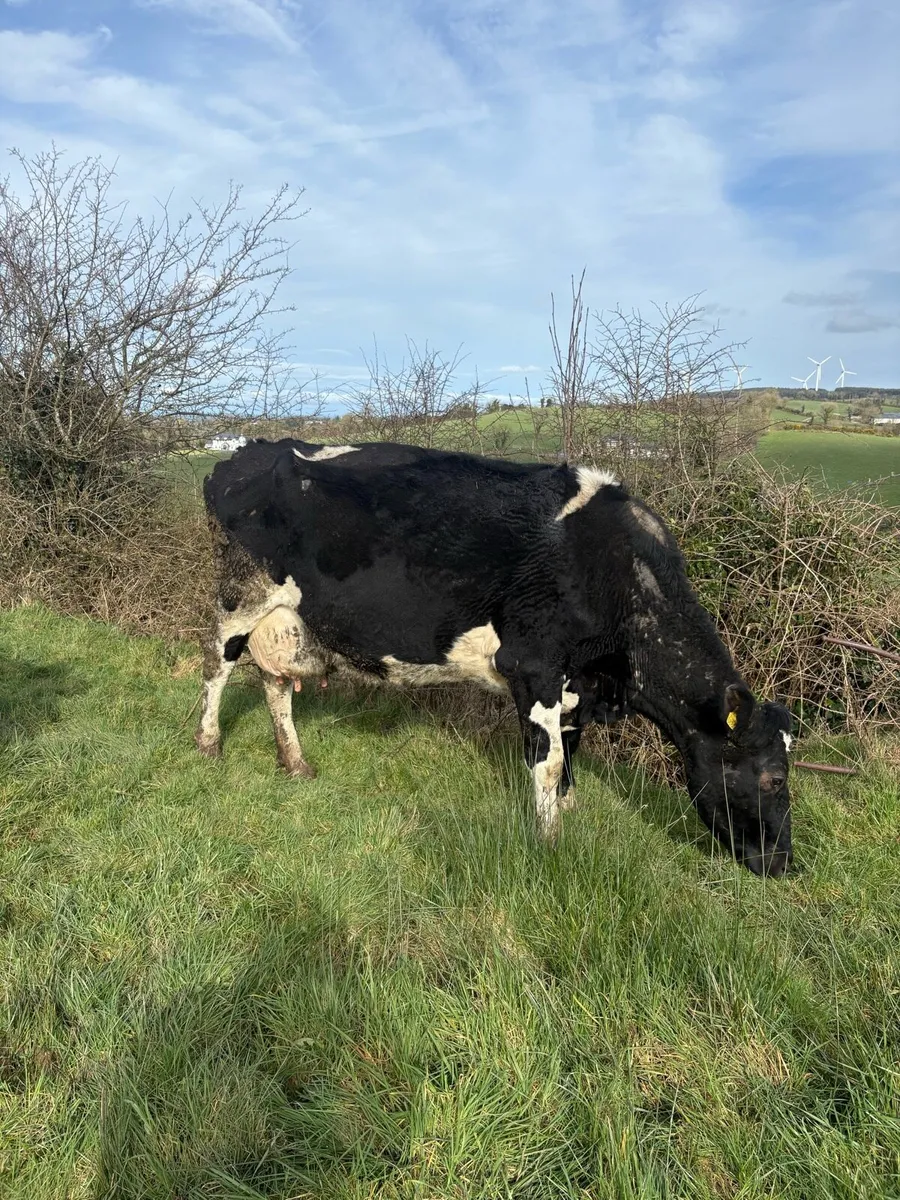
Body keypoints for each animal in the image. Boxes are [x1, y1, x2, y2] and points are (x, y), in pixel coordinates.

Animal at [197, 438, 794, 877]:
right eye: (773, 779)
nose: (785, 864)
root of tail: (254, 450)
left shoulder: (574, 682)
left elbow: (570, 752)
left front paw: (568, 812)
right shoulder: (534, 666)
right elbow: (548, 762)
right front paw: (550, 845)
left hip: (289, 621)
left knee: (275, 683)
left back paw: (294, 762)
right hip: (242, 594)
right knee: (216, 663)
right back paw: (208, 744)